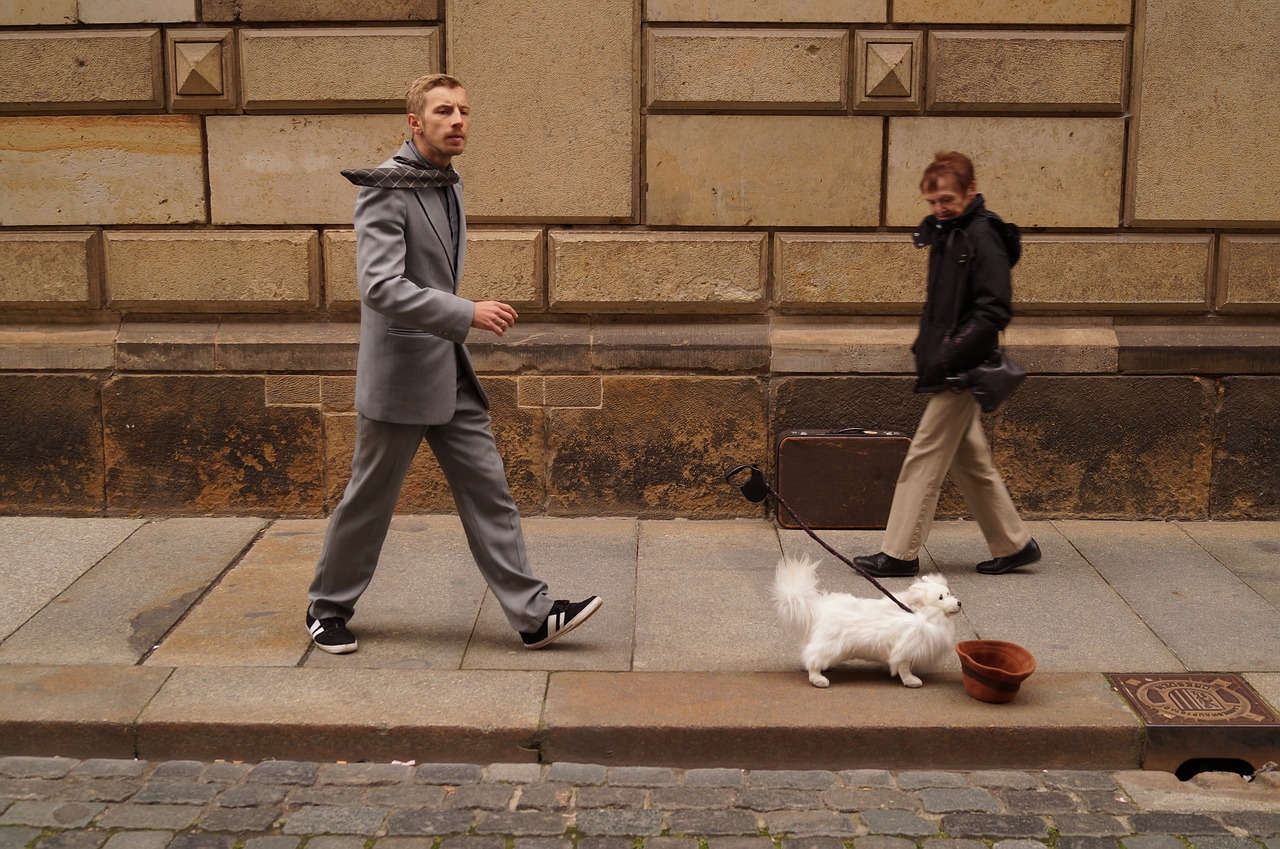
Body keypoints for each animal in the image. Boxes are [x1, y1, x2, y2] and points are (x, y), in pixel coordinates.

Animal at [768, 558, 962, 691]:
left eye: (948, 593)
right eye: (940, 597)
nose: (959, 603)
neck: (921, 614)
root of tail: (819, 609)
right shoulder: (905, 650)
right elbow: (904, 669)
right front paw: (912, 682)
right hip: (830, 646)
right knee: (813, 662)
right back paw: (820, 680)